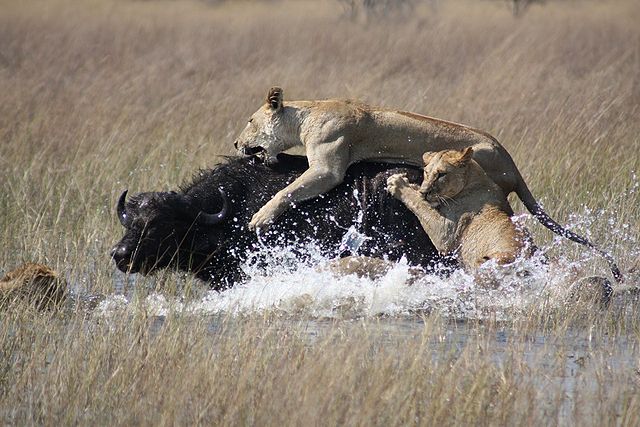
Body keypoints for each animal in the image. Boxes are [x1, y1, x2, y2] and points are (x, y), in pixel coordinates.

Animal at [234, 87, 621, 281]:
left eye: (250, 121)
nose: (236, 143)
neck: (307, 114)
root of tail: (509, 159)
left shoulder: (329, 167)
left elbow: (288, 191)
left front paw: (260, 217)